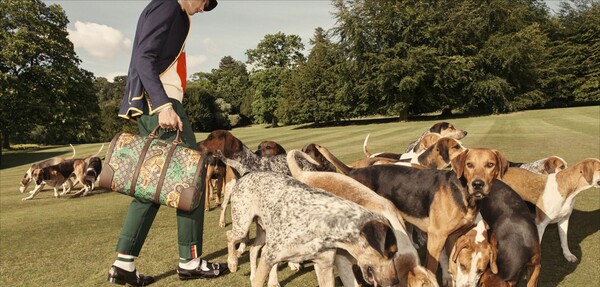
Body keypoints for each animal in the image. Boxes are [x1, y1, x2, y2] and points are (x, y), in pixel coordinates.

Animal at [227, 171, 400, 287]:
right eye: (391, 252)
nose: (396, 281)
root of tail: (246, 175)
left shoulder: (324, 266)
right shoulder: (270, 258)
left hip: (264, 231)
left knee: (254, 250)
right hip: (242, 225)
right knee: (231, 236)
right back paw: (232, 263)